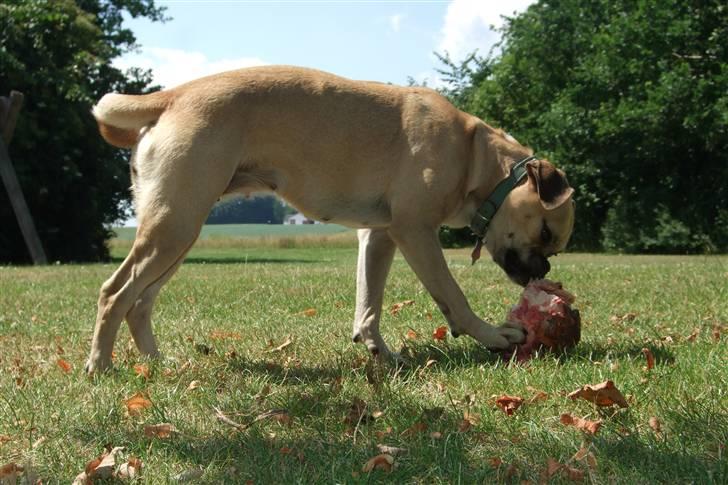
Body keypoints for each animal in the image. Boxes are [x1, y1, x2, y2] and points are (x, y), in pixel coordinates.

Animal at [84, 67, 576, 370]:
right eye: (545, 233)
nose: (543, 273)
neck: (476, 157)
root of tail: (175, 95)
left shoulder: (378, 237)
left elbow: (369, 303)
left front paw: (380, 352)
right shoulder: (415, 232)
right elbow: (453, 297)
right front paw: (493, 335)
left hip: (177, 233)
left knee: (139, 302)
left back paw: (154, 364)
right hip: (173, 227)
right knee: (114, 293)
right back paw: (102, 366)